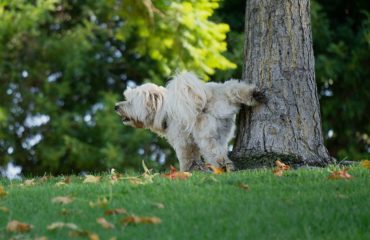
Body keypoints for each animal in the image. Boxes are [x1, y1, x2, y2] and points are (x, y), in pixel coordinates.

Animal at [114, 72, 264, 172]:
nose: (116, 107)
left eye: (129, 101)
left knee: (216, 154)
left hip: (205, 135)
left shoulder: (183, 142)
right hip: (225, 99)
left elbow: (186, 158)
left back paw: (222, 167)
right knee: (235, 88)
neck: (164, 110)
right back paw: (254, 94)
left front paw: (185, 172)